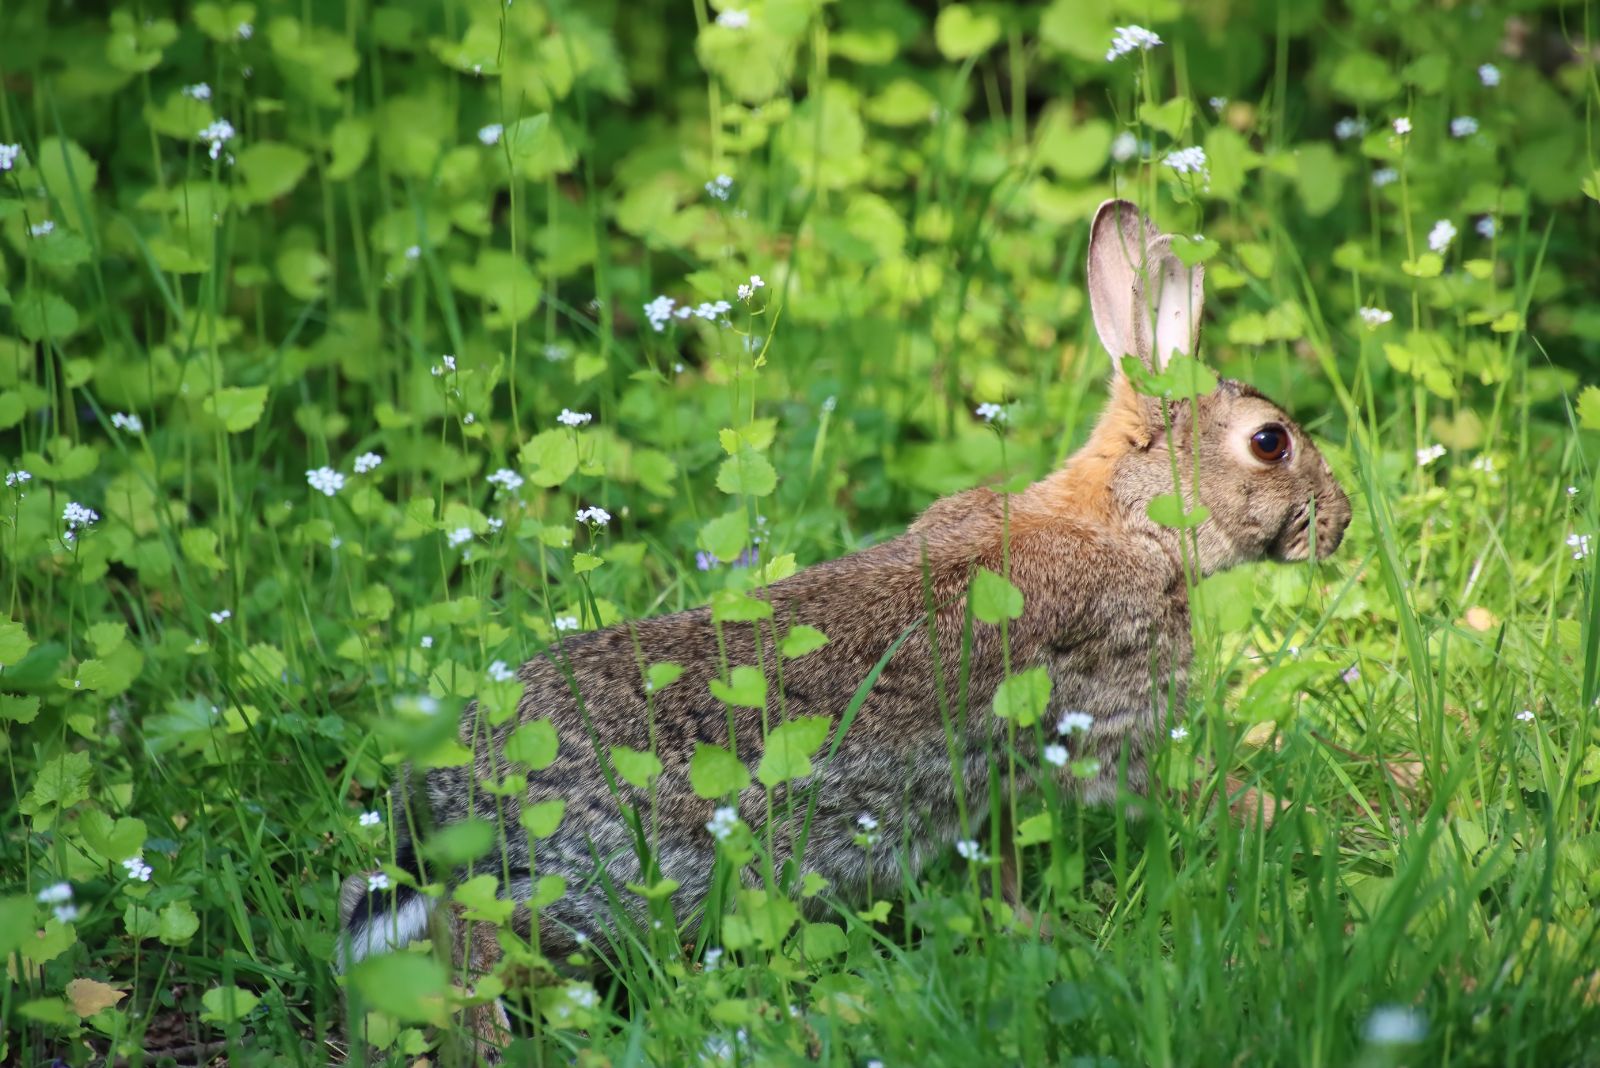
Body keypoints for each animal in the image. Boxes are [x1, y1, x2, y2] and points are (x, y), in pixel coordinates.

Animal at [337, 198, 1352, 1058]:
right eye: (1271, 442)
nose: (1338, 524)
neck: (1130, 522)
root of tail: (450, 798)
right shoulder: (1109, 729)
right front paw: (1276, 820)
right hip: (609, 879)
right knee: (477, 941)